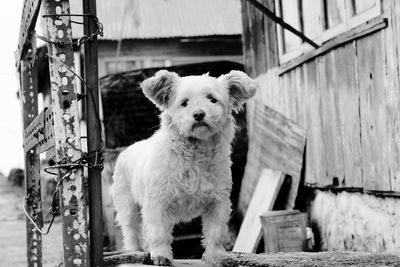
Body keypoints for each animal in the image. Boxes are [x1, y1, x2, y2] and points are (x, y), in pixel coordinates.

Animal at [110, 70, 256, 266]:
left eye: (212, 99)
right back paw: (134, 252)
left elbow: (216, 232)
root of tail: (126, 150)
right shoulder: (158, 202)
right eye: (184, 103)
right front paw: (161, 255)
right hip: (127, 207)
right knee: (131, 231)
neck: (195, 151)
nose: (199, 114)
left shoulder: (218, 202)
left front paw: (215, 256)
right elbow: (159, 232)